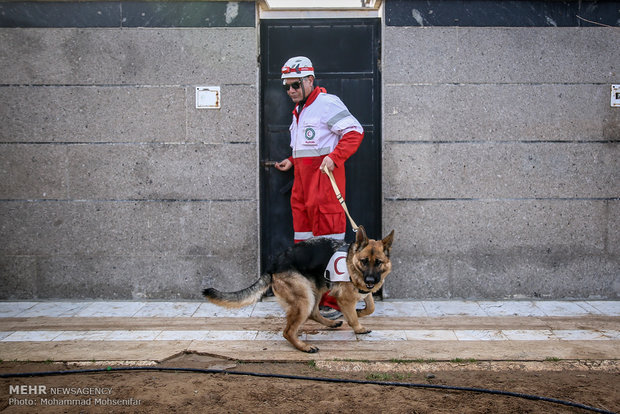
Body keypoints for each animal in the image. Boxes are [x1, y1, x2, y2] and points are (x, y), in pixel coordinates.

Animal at [203, 226, 398, 352]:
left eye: (378, 262)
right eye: (364, 261)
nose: (370, 280)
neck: (352, 262)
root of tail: (273, 264)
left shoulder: (364, 291)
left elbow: (371, 306)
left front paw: (360, 312)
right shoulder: (345, 298)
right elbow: (353, 317)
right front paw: (358, 326)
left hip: (315, 290)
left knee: (313, 313)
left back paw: (330, 324)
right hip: (305, 298)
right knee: (288, 331)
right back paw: (304, 347)